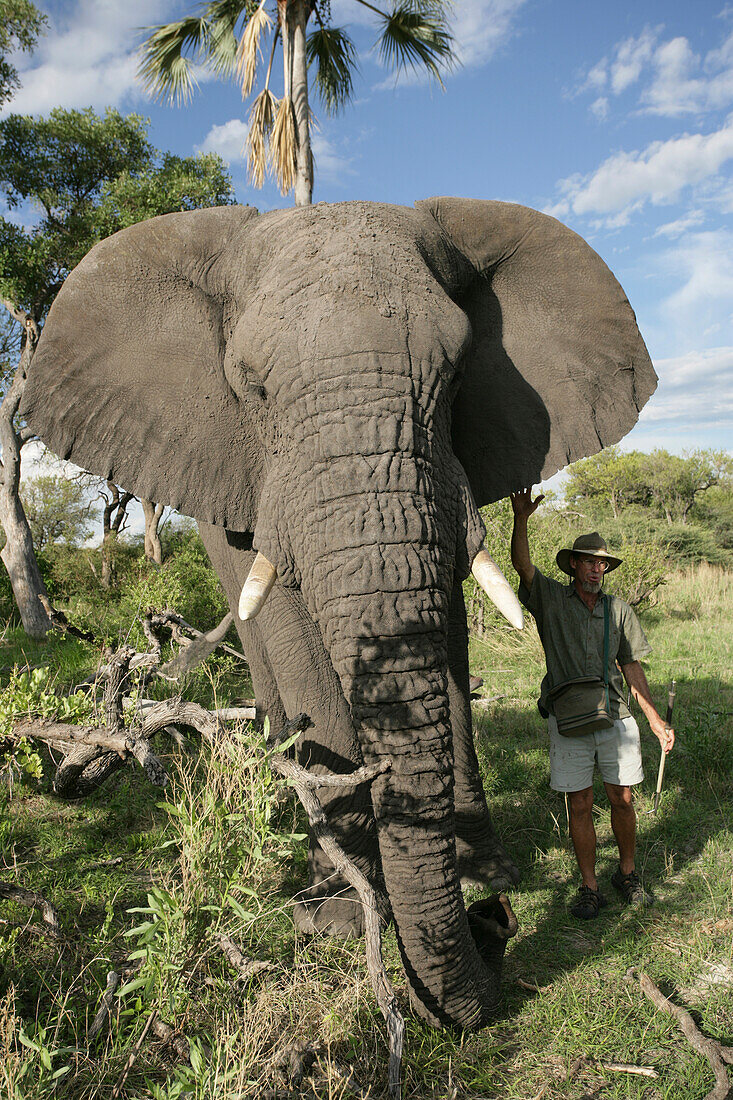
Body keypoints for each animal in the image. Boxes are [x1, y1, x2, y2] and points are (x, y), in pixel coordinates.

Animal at [19, 198, 651, 1029]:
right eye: (252, 389)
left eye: (455, 375)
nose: (496, 928)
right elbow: (297, 643)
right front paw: (339, 913)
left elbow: (446, 635)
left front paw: (484, 871)